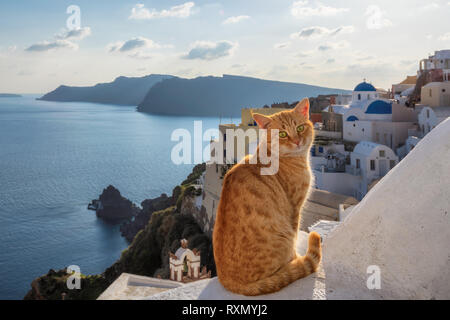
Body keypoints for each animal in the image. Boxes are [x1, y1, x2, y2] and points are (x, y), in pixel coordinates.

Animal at [213, 97, 322, 296]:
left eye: (300, 128)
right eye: (283, 134)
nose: (297, 141)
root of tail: (229, 282)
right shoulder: (295, 209)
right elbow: (296, 236)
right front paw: (296, 260)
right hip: (284, 235)